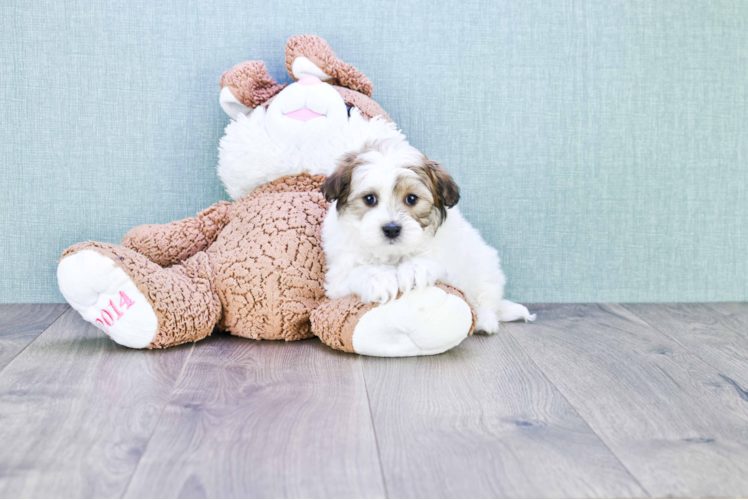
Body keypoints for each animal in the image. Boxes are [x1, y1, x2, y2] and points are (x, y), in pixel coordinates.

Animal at [318, 137, 536, 334]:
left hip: (484, 266)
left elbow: (435, 264)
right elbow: (356, 272)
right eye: (370, 199)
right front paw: (378, 278)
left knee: (486, 299)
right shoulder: (337, 279)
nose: (391, 229)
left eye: (412, 199)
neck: (393, 254)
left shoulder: (453, 266)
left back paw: (485, 320)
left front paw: (414, 269)